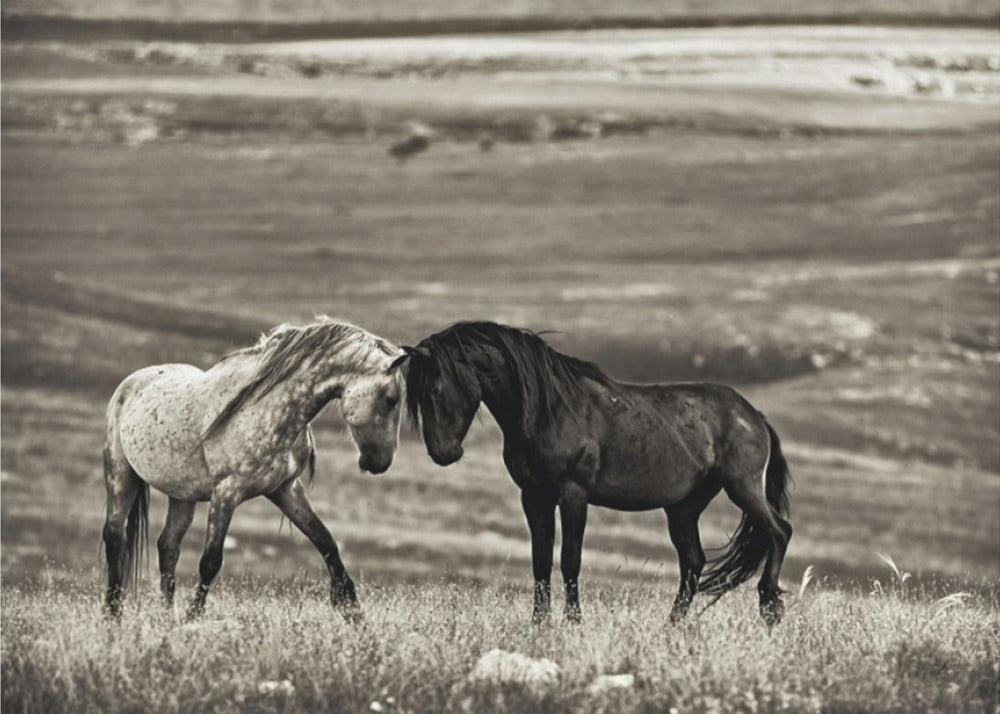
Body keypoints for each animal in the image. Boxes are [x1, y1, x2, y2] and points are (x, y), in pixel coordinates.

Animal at [103, 317, 405, 622]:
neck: (265, 409)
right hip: (120, 475)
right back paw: (112, 614)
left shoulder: (285, 489)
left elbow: (326, 541)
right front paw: (193, 617)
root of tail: (131, 382)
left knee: (168, 545)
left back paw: (167, 616)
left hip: (182, 495)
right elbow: (210, 561)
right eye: (391, 399)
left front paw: (352, 610)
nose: (382, 462)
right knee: (115, 535)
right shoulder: (227, 492)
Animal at [395, 321, 792, 626]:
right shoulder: (534, 496)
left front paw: (573, 622)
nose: (442, 453)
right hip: (683, 507)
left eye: (435, 389)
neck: (548, 410)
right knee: (693, 562)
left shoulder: (574, 494)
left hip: (742, 487)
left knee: (779, 531)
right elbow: (540, 562)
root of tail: (753, 415)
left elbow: (570, 559)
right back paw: (673, 625)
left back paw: (770, 607)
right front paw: (539, 624)